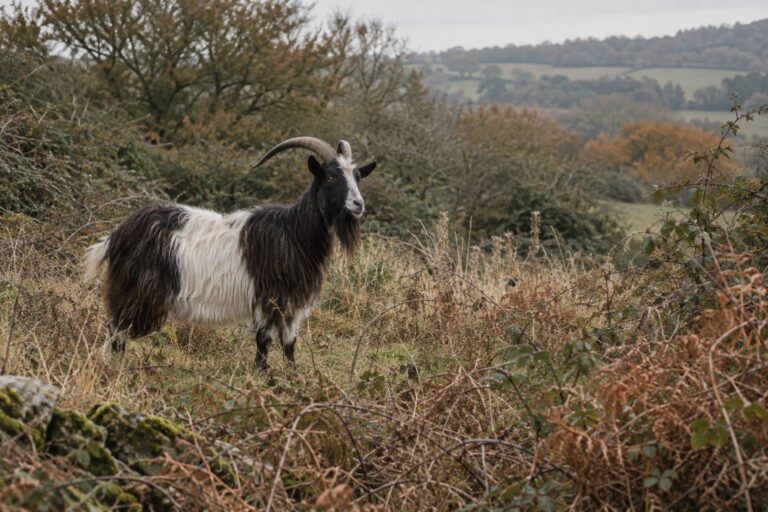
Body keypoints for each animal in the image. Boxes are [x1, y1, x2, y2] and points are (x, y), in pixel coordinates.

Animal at [84, 137, 377, 370]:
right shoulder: (268, 298)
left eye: (358, 178)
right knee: (116, 328)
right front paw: (263, 375)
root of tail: (118, 234)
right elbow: (263, 340)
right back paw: (113, 366)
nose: (358, 204)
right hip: (136, 291)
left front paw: (292, 378)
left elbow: (289, 344)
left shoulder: (293, 306)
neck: (294, 233)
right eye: (331, 176)